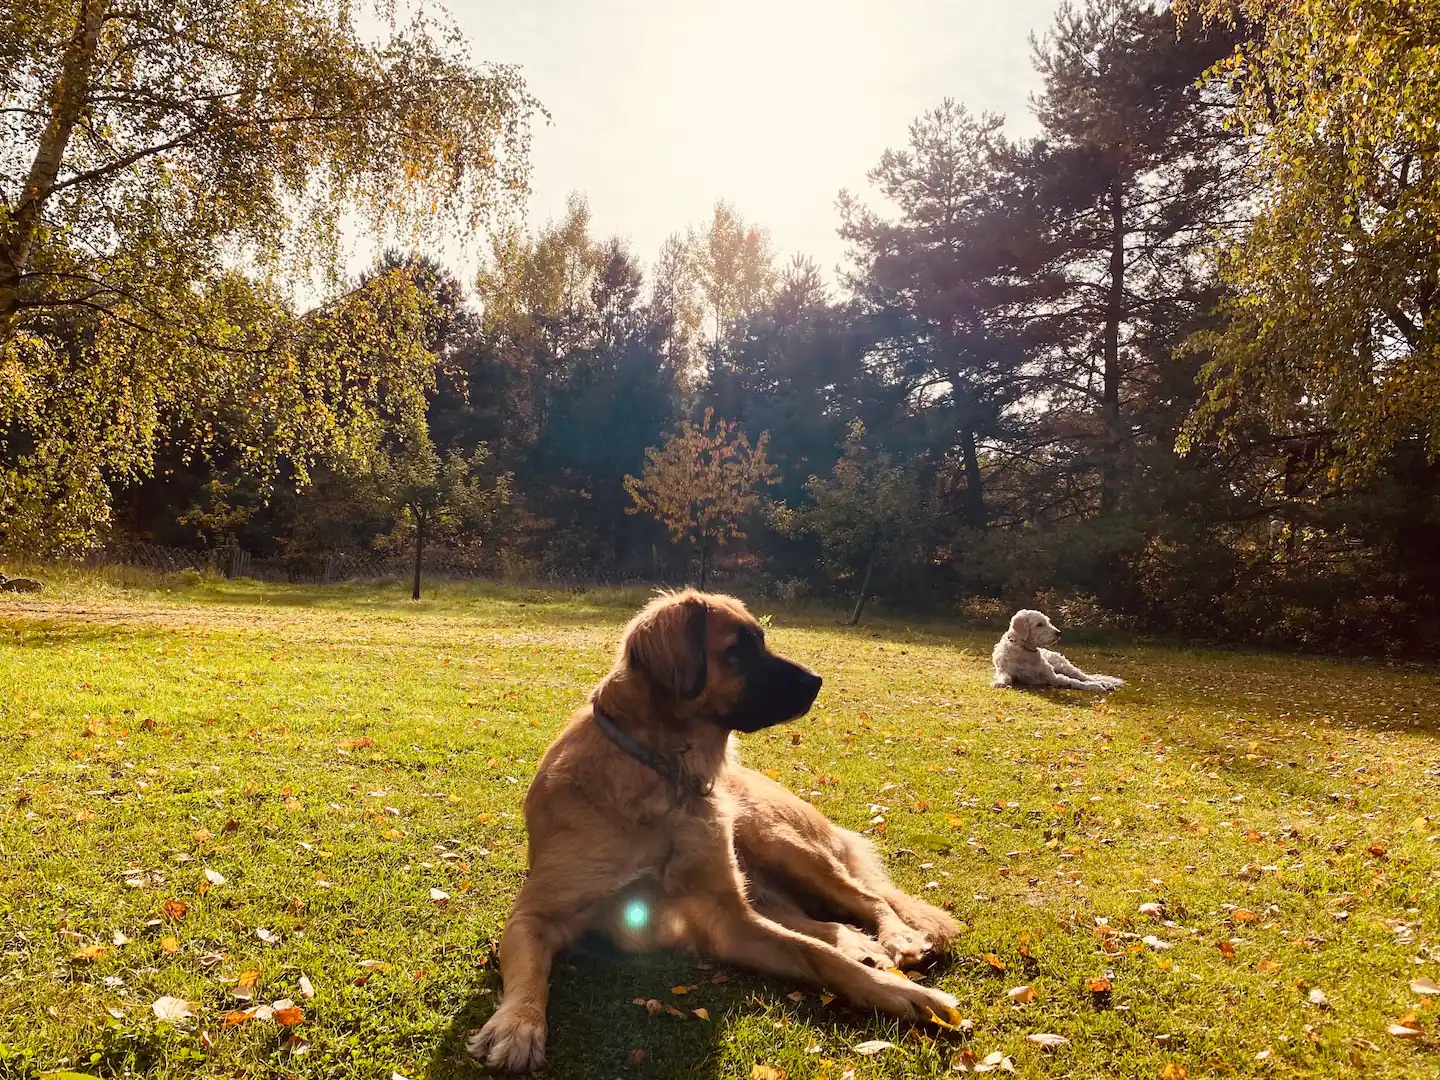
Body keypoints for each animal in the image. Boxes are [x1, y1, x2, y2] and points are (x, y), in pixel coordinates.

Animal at [472, 593, 961, 1077]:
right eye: (738, 649)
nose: (818, 681)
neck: (664, 772)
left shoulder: (726, 918)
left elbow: (818, 955)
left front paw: (906, 994)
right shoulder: (534, 916)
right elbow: (530, 972)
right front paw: (518, 1025)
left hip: (773, 837)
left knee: (865, 897)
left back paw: (896, 938)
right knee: (819, 919)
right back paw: (862, 944)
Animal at [990, 610, 1123, 694]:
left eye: (1048, 621)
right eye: (1039, 624)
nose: (1058, 633)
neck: (1024, 651)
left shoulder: (1053, 677)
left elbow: (1076, 682)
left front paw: (1095, 686)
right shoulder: (1004, 670)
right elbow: (1006, 678)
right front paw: (999, 683)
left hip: (1066, 667)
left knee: (1085, 677)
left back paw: (1104, 683)